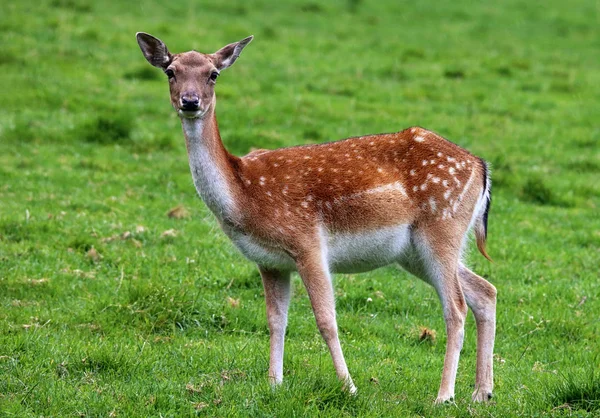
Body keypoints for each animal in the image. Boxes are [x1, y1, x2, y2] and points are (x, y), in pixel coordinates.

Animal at [136, 33, 496, 404]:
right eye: (170, 71)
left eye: (213, 74)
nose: (190, 101)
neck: (244, 197)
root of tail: (481, 167)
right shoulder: (269, 261)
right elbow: (275, 320)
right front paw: (274, 383)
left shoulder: (307, 242)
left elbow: (326, 320)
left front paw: (349, 387)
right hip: (413, 251)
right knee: (485, 291)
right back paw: (481, 393)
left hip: (442, 223)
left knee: (456, 307)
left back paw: (444, 395)